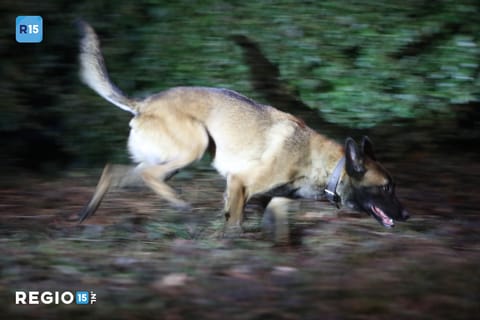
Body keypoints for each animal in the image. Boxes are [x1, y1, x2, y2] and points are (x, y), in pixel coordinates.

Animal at [78, 21, 408, 234]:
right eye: (386, 187)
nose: (406, 214)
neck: (327, 167)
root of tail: (145, 103)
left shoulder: (272, 200)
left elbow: (272, 223)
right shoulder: (239, 182)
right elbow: (236, 223)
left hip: (167, 160)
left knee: (115, 170)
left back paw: (86, 214)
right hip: (194, 146)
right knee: (148, 175)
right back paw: (182, 207)